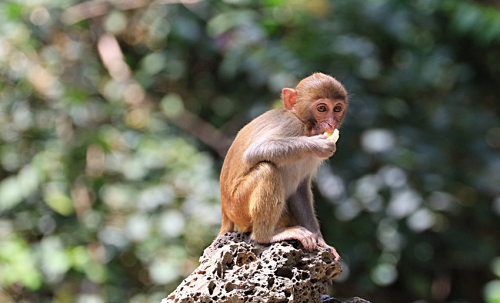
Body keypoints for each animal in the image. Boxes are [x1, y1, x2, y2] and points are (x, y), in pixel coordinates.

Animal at [219, 73, 348, 262]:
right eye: (322, 108)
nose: (331, 124)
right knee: (267, 169)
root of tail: (225, 210)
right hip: (238, 206)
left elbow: (300, 189)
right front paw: (316, 145)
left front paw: (320, 240)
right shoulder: (290, 125)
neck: (305, 126)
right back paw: (266, 236)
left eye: (337, 108)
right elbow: (254, 152)